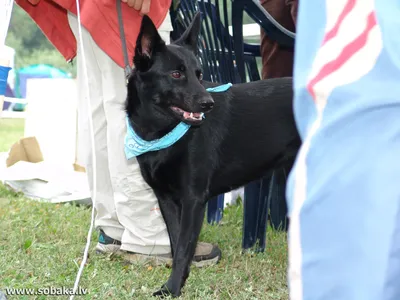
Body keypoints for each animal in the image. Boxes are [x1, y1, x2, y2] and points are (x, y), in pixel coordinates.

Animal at [126, 12, 300, 296]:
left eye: (199, 74)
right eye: (176, 74)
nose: (208, 103)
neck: (164, 133)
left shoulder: (193, 199)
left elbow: (183, 248)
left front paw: (172, 288)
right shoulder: (166, 199)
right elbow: (176, 243)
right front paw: (179, 282)